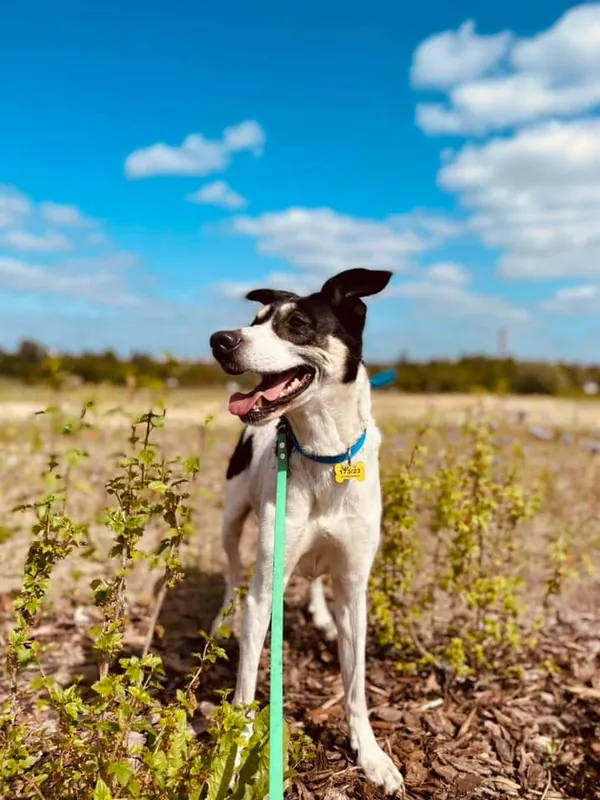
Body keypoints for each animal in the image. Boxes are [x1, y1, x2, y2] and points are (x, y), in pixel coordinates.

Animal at [207, 268, 404, 792]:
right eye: (255, 320)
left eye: (295, 325)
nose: (220, 339)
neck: (323, 455)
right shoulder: (264, 588)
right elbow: (246, 690)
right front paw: (235, 757)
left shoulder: (354, 586)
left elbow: (355, 687)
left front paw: (372, 756)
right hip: (232, 518)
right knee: (233, 571)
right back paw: (222, 621)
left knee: (315, 577)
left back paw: (320, 613)